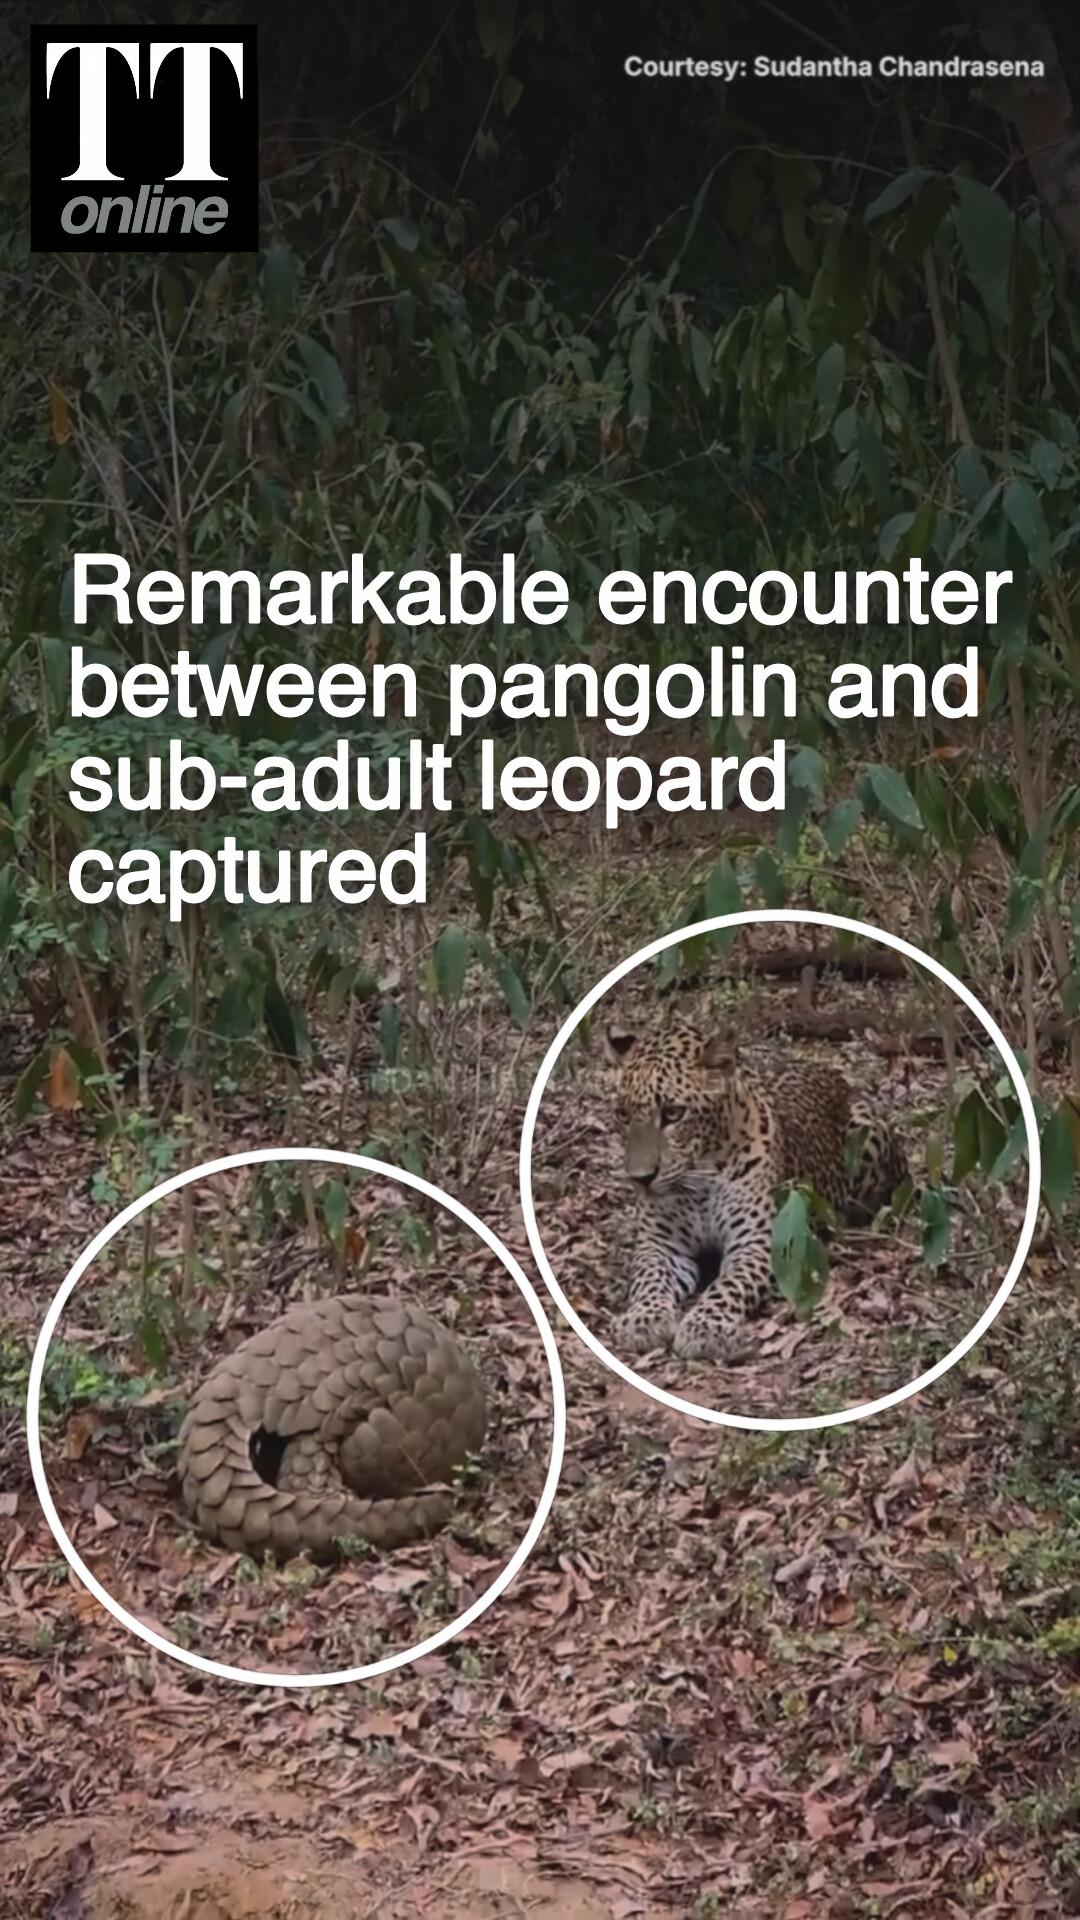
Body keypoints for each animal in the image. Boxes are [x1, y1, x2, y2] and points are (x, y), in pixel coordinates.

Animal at [604, 1010, 908, 1361]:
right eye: (622, 1115)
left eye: (673, 1114)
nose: (640, 1178)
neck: (698, 1185)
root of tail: (828, 1071)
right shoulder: (660, 1245)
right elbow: (649, 1278)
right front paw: (643, 1319)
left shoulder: (761, 1242)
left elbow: (729, 1285)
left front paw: (705, 1327)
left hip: (866, 1136)